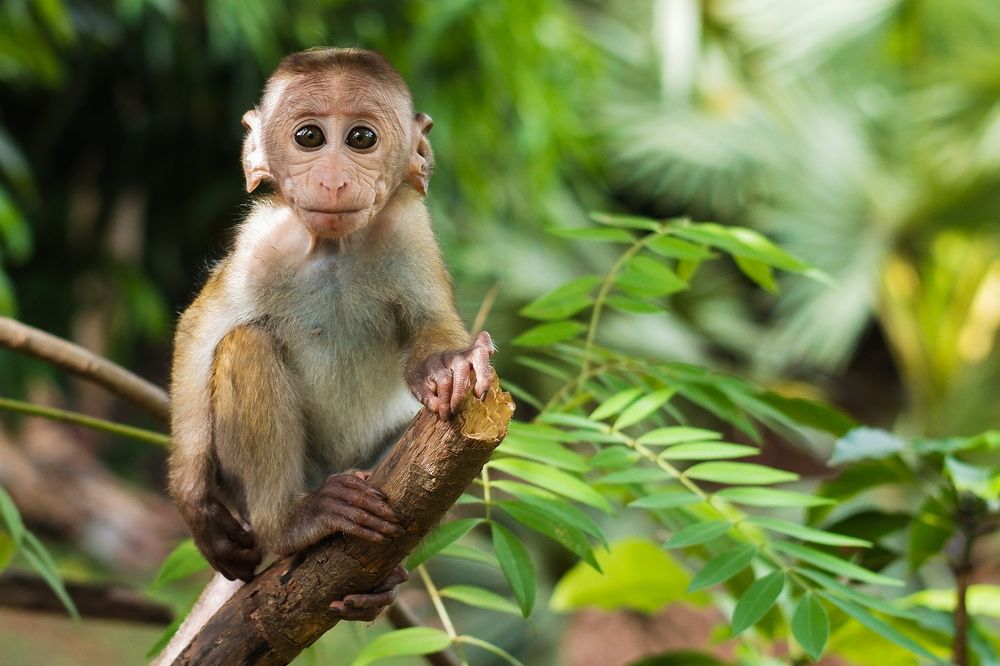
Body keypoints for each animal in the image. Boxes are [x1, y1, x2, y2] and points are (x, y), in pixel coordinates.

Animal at [159, 48, 494, 659]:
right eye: (309, 136)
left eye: (361, 138)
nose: (334, 179)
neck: (335, 249)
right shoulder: (262, 239)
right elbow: (203, 327)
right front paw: (195, 502)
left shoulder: (409, 231)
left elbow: (432, 327)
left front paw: (450, 367)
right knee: (245, 344)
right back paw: (292, 522)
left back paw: (375, 585)